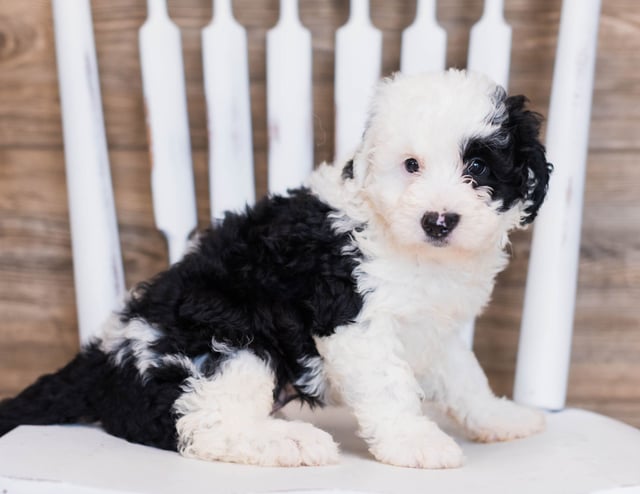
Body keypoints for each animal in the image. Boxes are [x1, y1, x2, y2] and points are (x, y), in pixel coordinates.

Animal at [0, 68, 552, 466]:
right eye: (411, 165)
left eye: (478, 166)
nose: (438, 220)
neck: (405, 243)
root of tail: (104, 352)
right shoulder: (355, 318)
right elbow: (390, 388)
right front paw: (416, 443)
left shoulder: (434, 326)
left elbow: (464, 376)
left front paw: (499, 417)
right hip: (228, 342)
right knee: (202, 422)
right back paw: (290, 443)